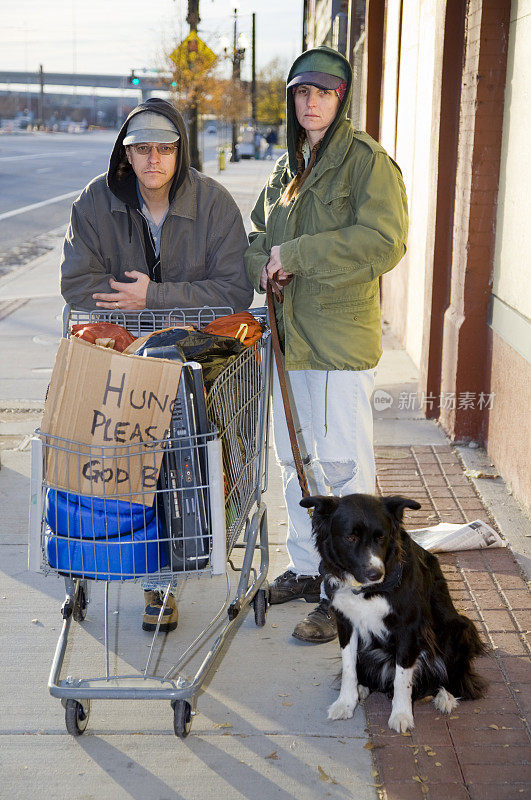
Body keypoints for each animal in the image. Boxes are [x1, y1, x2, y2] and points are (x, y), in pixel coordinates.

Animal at [302, 494, 488, 732]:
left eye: (381, 537)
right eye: (350, 538)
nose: (375, 573)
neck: (368, 590)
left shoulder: (407, 628)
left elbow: (402, 677)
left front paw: (401, 715)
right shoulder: (345, 622)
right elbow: (349, 667)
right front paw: (346, 702)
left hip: (459, 627)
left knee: (454, 674)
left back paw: (445, 696)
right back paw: (363, 686)